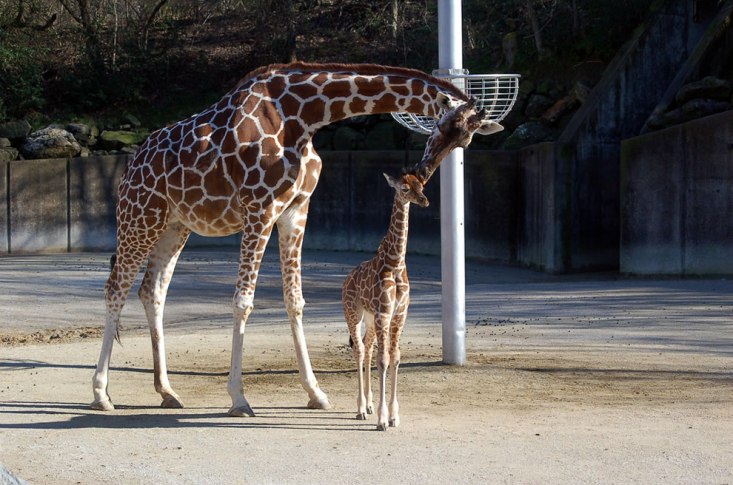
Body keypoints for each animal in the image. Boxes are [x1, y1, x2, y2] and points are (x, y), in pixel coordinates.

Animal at [344, 172, 428, 430]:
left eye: (421, 185)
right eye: (404, 188)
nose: (425, 200)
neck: (396, 262)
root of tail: (347, 279)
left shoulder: (398, 315)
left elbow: (395, 358)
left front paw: (393, 416)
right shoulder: (384, 314)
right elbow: (383, 359)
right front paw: (382, 419)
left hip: (371, 320)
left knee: (367, 346)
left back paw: (369, 405)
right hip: (353, 313)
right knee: (360, 349)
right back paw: (361, 408)